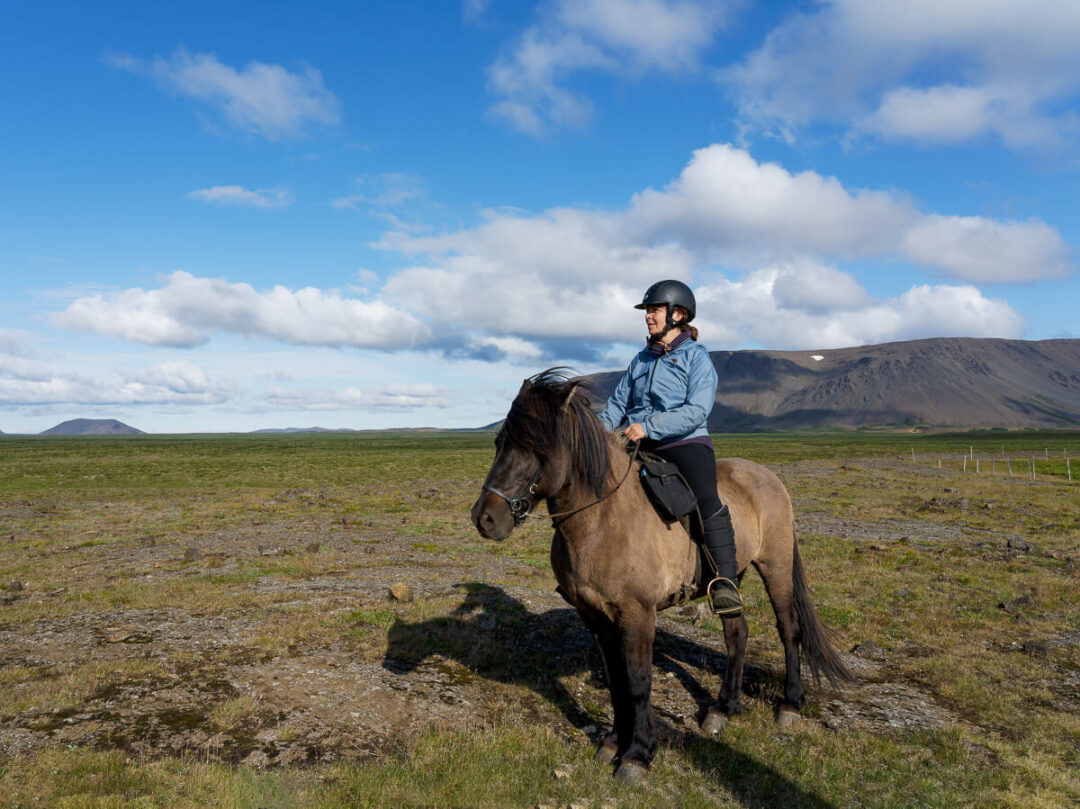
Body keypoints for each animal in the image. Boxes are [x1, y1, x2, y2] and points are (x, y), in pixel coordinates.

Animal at [470, 369, 853, 783]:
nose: (485, 518)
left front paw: (637, 754)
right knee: (737, 632)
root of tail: (768, 476)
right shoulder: (594, 615)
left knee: (789, 630)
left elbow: (638, 682)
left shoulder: (637, 613)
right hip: (730, 579)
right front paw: (613, 743)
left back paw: (791, 704)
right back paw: (723, 708)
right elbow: (617, 680)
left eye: (536, 446)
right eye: (499, 442)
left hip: (776, 567)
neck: (602, 519)